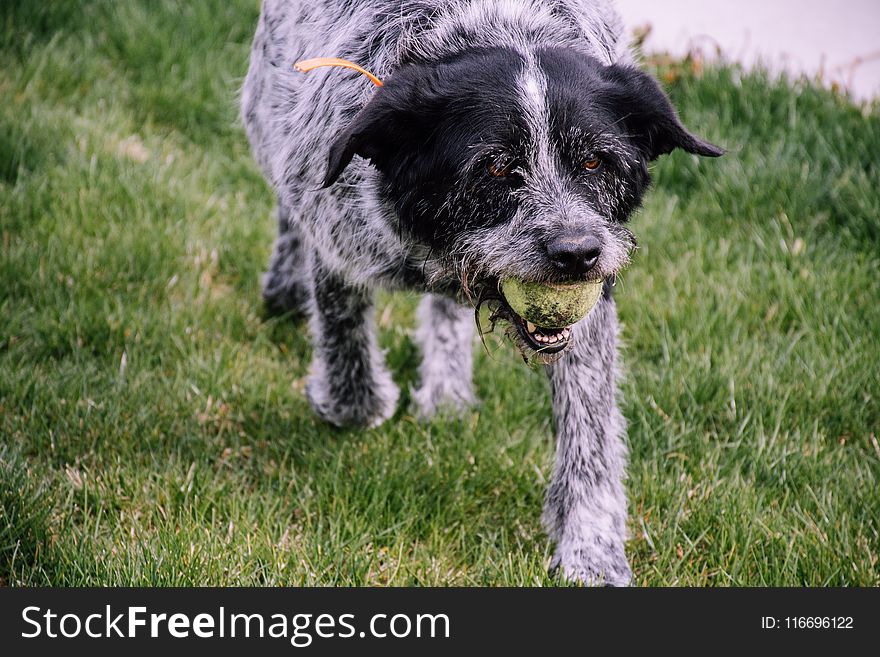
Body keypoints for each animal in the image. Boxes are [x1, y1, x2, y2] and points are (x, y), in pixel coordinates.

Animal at [241, 0, 720, 584]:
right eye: (495, 167)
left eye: (594, 161)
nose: (576, 253)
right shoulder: (336, 237)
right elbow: (346, 351)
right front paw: (349, 400)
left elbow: (591, 429)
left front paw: (592, 550)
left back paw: (447, 386)